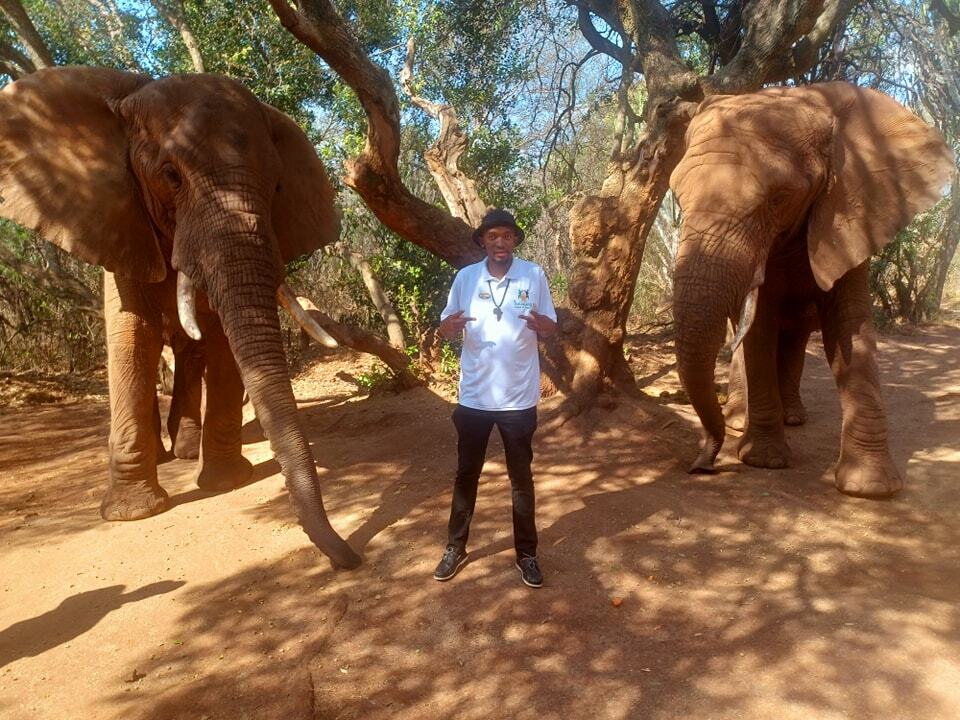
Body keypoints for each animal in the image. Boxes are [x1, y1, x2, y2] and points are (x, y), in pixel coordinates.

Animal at [0, 66, 360, 568]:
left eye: (276, 187)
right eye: (171, 176)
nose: (348, 557)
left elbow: (221, 340)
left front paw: (225, 482)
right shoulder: (121, 227)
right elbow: (133, 337)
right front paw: (132, 514)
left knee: (192, 353)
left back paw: (187, 452)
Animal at [669, 81, 953, 498]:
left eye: (779, 198)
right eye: (676, 196)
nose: (702, 464)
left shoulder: (853, 212)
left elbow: (850, 326)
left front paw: (870, 488)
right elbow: (760, 329)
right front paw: (765, 461)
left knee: (794, 340)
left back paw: (792, 418)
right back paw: (742, 422)